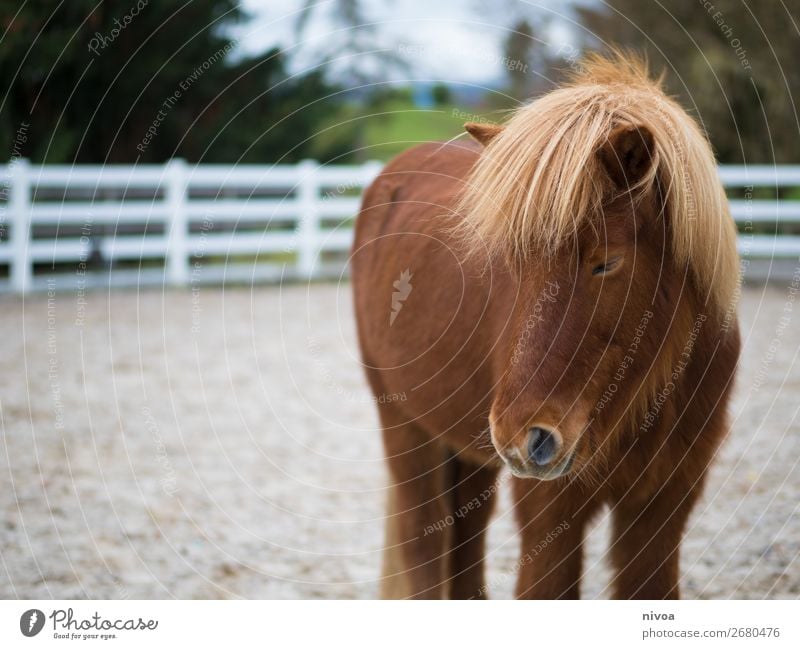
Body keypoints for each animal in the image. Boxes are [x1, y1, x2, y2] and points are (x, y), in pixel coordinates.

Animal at [354, 53, 740, 600]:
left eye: (606, 263)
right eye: (513, 264)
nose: (523, 438)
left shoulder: (662, 509)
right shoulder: (549, 514)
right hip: (407, 429)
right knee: (424, 546)